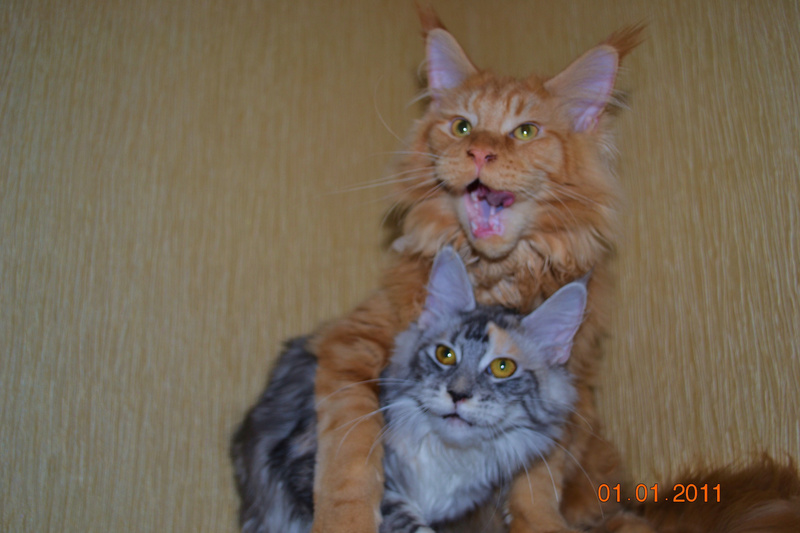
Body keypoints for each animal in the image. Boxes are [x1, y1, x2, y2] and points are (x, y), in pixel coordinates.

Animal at [301, 6, 645, 533]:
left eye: (525, 131)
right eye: (462, 127)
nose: (480, 152)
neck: (493, 282)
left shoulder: (568, 388)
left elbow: (536, 474)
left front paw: (538, 522)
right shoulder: (352, 342)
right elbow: (350, 452)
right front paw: (346, 520)